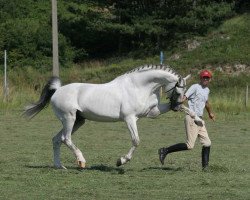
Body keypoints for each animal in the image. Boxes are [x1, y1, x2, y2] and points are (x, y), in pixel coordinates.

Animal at [24, 64, 202, 169]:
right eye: (178, 90)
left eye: (185, 92)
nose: (175, 106)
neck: (139, 87)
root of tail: (57, 90)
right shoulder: (130, 118)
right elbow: (136, 141)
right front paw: (121, 161)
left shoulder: (152, 112)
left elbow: (187, 110)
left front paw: (199, 120)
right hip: (69, 119)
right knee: (65, 139)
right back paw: (81, 161)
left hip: (78, 121)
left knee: (56, 140)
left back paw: (59, 166)